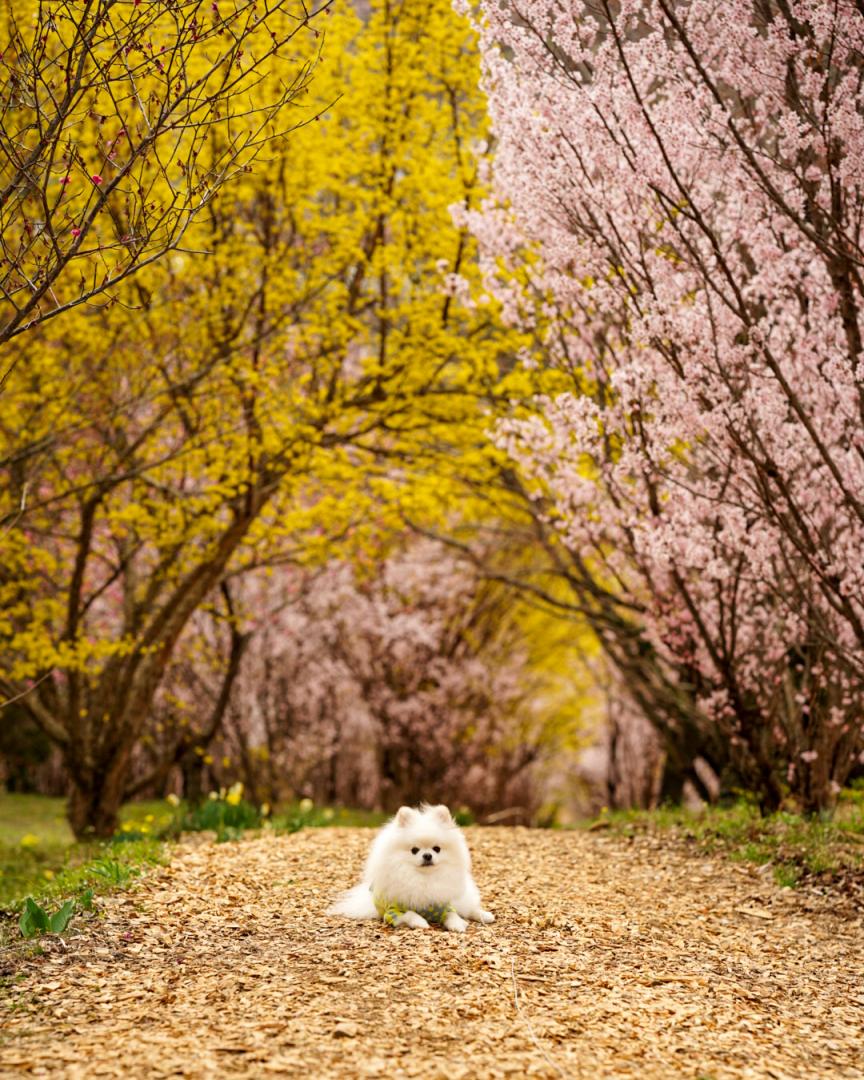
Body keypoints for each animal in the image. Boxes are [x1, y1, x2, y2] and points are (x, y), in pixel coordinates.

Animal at [328, 803, 496, 928]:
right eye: (414, 850)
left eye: (437, 849)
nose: (427, 855)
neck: (423, 879)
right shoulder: (392, 912)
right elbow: (410, 914)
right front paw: (420, 922)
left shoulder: (444, 905)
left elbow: (452, 914)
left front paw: (457, 924)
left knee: (468, 908)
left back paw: (485, 915)